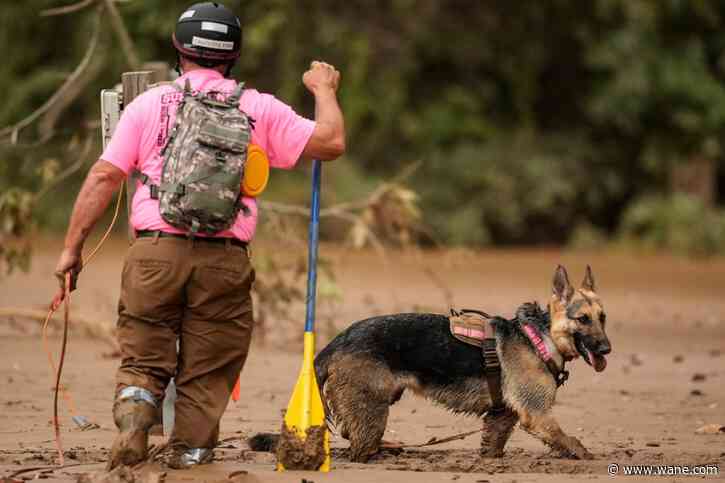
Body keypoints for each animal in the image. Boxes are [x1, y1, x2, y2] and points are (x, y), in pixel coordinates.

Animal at [312, 266, 612, 464]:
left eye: (602, 317)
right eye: (583, 319)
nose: (607, 349)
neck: (540, 336)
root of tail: (337, 341)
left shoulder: (503, 417)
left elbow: (493, 445)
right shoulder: (536, 414)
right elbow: (571, 441)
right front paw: (587, 456)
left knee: (349, 434)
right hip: (372, 411)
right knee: (358, 448)